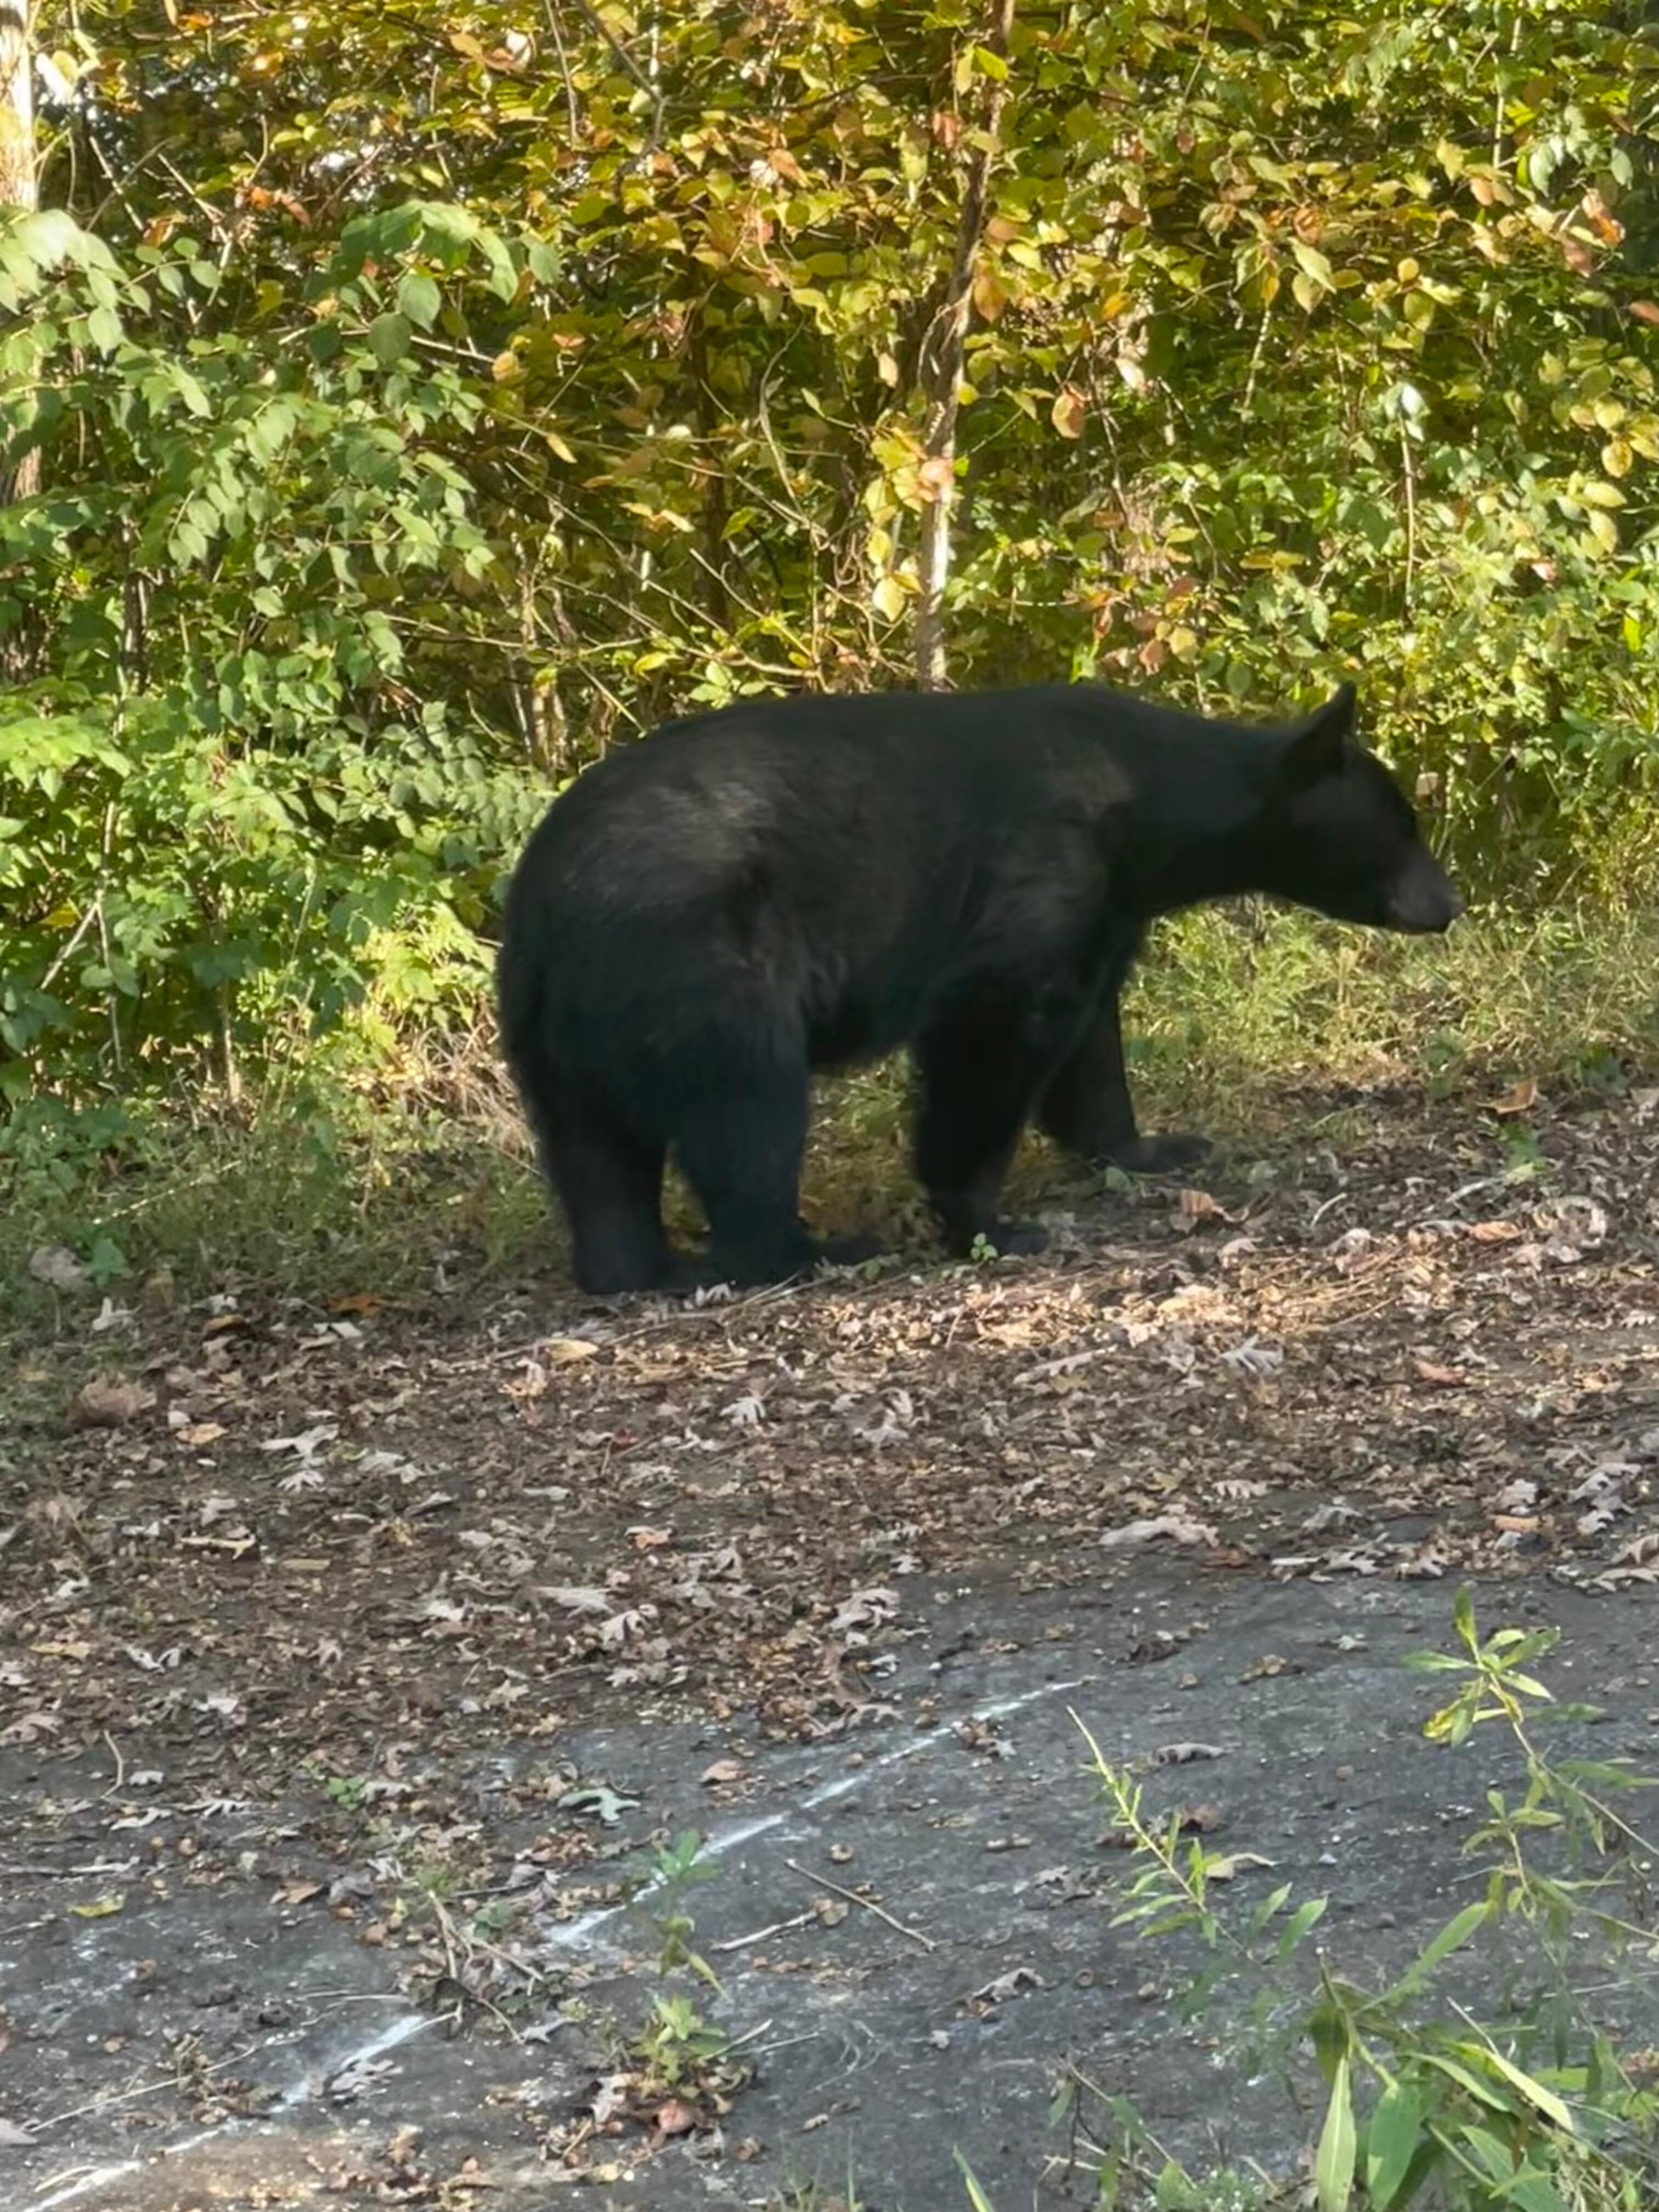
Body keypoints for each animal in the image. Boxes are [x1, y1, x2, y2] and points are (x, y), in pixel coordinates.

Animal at [497, 678, 1461, 1294]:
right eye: (1403, 824)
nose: (1449, 904)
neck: (1147, 808)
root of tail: (543, 902)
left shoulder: (1108, 902)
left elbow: (1091, 1036)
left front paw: (1149, 1147)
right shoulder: (1045, 862)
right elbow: (994, 1018)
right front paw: (986, 1218)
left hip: (561, 1025)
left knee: (594, 1154)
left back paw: (642, 1269)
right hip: (699, 961)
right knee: (747, 1107)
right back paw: (811, 1250)